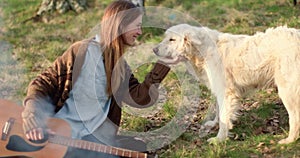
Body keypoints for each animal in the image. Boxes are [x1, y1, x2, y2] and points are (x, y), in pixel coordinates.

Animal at [154, 23, 300, 144]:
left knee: (295, 117)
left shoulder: (226, 92)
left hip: (287, 91)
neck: (202, 51)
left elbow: (224, 115)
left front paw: (219, 139)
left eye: (172, 40)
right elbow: (219, 112)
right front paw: (214, 124)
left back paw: (289, 140)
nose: (154, 50)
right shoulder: (218, 90)